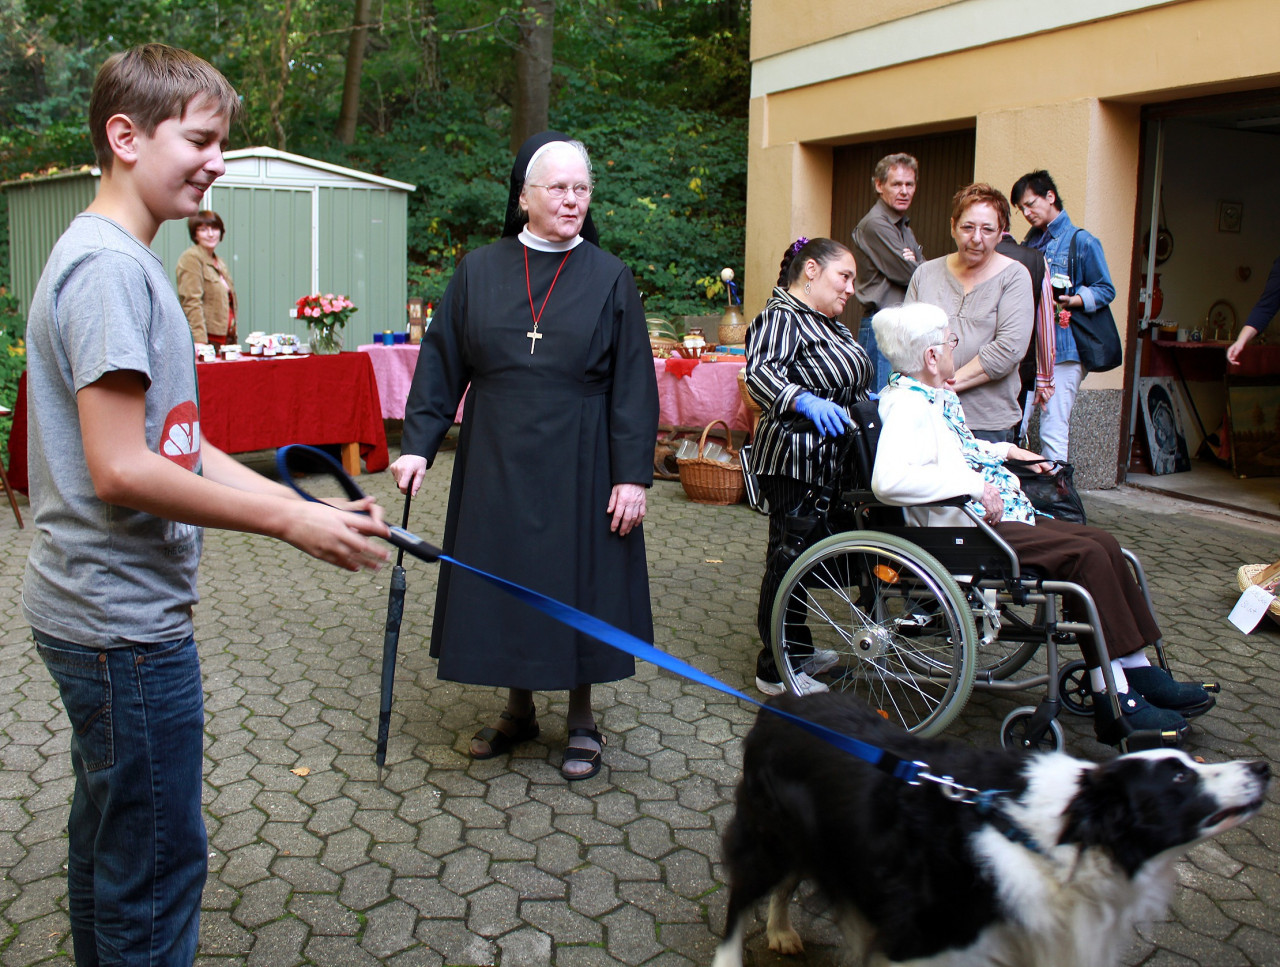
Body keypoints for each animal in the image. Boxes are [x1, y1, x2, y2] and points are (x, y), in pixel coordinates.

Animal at [716, 696, 1264, 967]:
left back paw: (782, 931)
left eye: (1187, 765)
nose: (1262, 768)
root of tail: (786, 704)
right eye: (1178, 778)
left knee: (789, 882)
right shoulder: (928, 940)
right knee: (741, 898)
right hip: (769, 833)